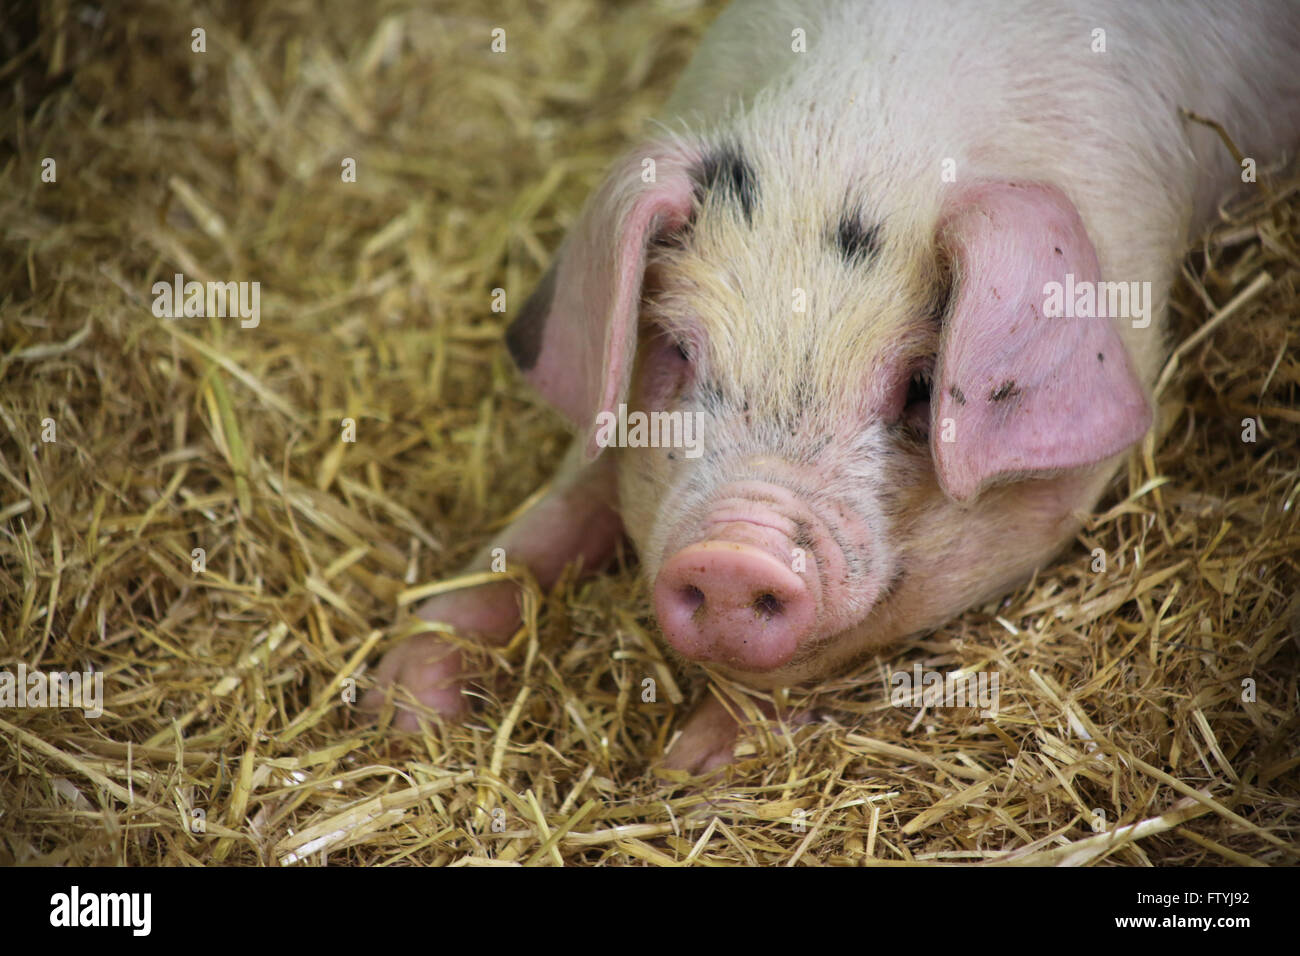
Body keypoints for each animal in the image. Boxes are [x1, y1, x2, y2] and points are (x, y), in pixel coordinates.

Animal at [364, 0, 1300, 770]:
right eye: (677, 349)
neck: (860, 126)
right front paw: (405, 700)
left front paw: (687, 771)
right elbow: (558, 511)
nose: (733, 553)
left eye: (921, 387)